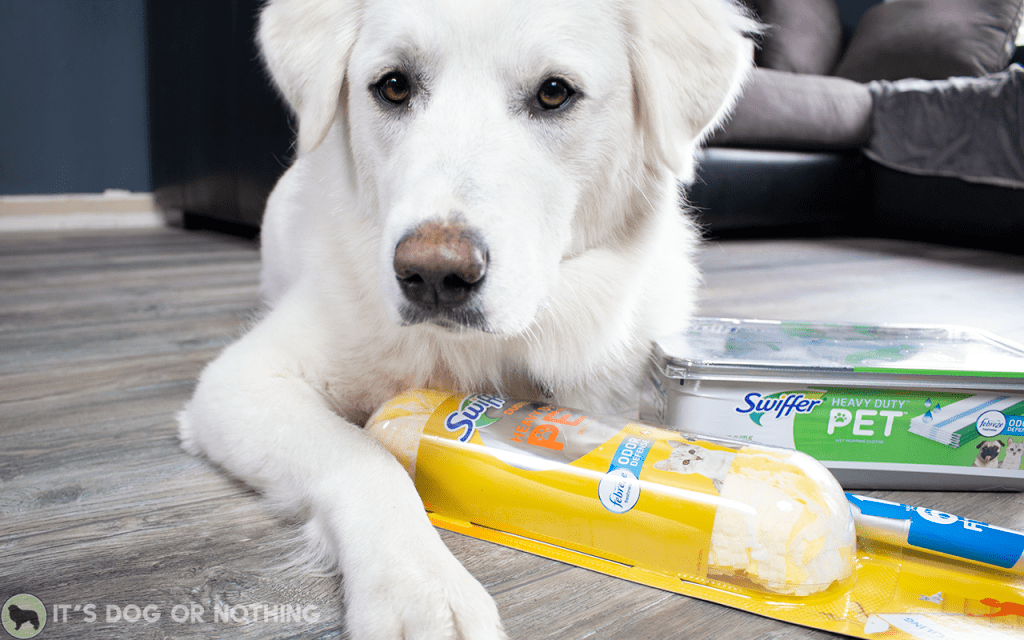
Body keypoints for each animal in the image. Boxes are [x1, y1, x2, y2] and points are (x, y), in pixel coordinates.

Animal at [178, 1, 753, 634]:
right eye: (394, 86)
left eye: (554, 93)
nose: (432, 275)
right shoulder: (242, 381)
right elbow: (362, 456)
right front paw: (420, 592)